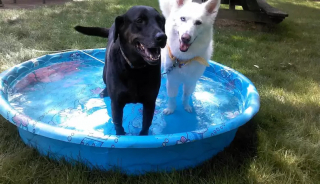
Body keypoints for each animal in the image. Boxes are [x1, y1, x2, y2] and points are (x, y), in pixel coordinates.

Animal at [74, 5, 166, 135]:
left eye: (160, 21)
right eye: (139, 20)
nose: (162, 37)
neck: (136, 69)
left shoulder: (150, 102)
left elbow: (146, 125)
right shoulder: (116, 104)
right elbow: (118, 125)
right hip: (105, 72)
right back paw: (104, 92)